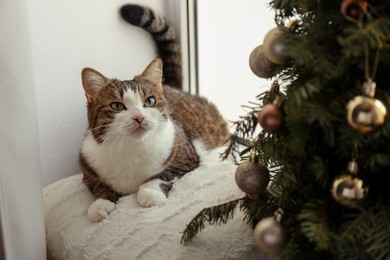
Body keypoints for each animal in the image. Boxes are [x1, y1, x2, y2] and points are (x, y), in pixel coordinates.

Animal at [79, 4, 230, 221]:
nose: (139, 117)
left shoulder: (186, 159)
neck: (131, 149)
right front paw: (100, 204)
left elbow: (161, 175)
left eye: (149, 101)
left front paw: (149, 192)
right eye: (117, 106)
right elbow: (98, 185)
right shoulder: (87, 166)